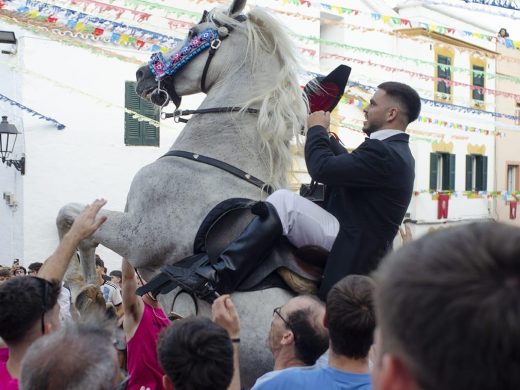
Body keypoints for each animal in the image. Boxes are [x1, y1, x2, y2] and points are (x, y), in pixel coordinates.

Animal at [57, 0, 308, 384]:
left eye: (192, 33)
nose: (143, 74)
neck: (213, 158)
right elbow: (81, 226)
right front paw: (88, 290)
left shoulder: (139, 236)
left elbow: (71, 217)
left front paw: (77, 283)